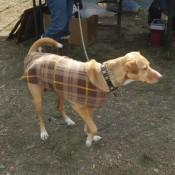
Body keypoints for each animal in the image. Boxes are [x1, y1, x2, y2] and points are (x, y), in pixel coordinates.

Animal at [22, 38, 162, 146]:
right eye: (145, 68)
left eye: (149, 65)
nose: (161, 76)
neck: (105, 76)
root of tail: (34, 54)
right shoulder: (78, 107)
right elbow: (94, 127)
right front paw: (89, 141)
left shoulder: (90, 107)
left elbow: (89, 125)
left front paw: (90, 136)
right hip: (38, 98)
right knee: (40, 116)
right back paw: (43, 133)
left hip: (60, 92)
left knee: (59, 107)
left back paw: (68, 121)